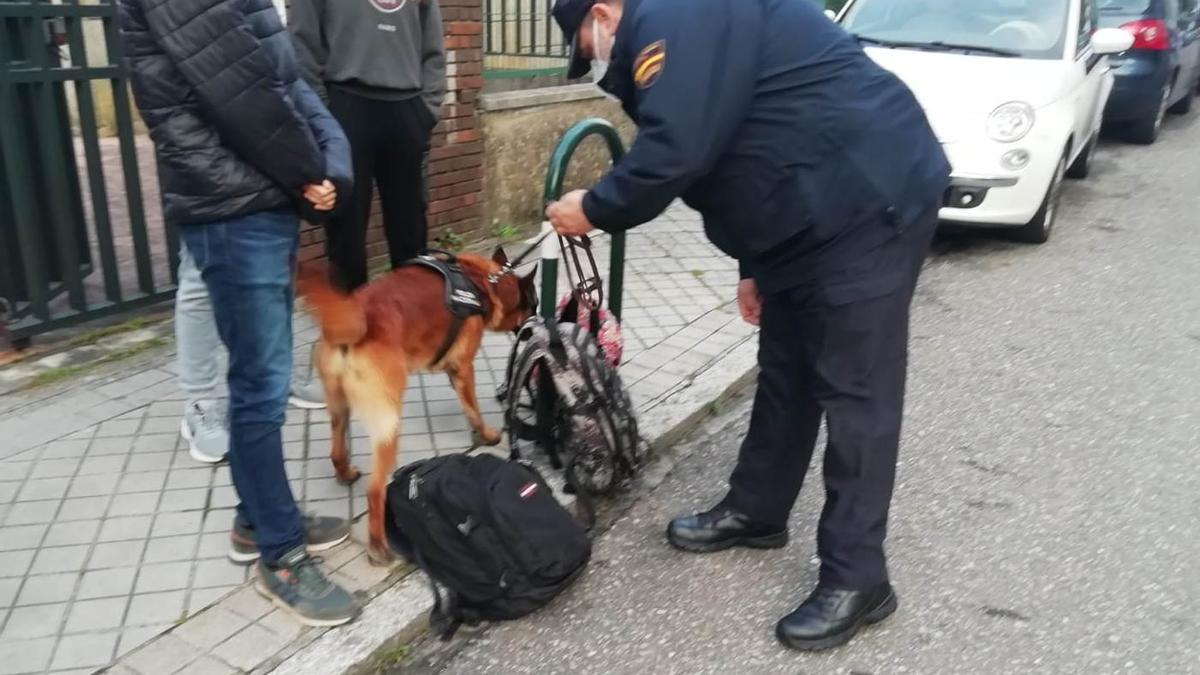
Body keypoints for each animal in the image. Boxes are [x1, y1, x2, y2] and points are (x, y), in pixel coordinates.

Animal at [300, 247, 540, 562]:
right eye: (533, 303)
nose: (536, 322)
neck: (485, 282)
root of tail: (358, 319)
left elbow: (467, 406)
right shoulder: (464, 369)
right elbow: (473, 408)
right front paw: (486, 435)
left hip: (339, 408)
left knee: (337, 450)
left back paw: (345, 473)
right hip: (388, 425)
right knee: (375, 490)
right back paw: (379, 546)